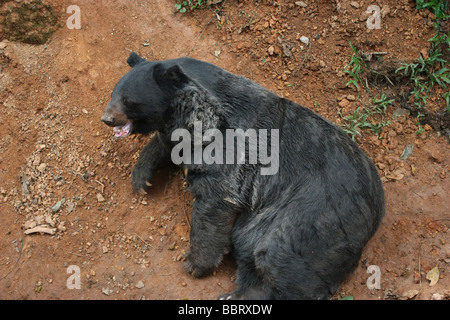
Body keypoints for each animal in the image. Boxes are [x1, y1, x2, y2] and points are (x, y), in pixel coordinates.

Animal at [103, 52, 386, 300]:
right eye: (113, 93)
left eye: (128, 100)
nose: (107, 119)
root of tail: (377, 214)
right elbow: (166, 147)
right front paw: (142, 177)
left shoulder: (230, 153)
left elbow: (215, 201)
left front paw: (194, 263)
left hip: (314, 219)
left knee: (278, 256)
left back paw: (237, 294)